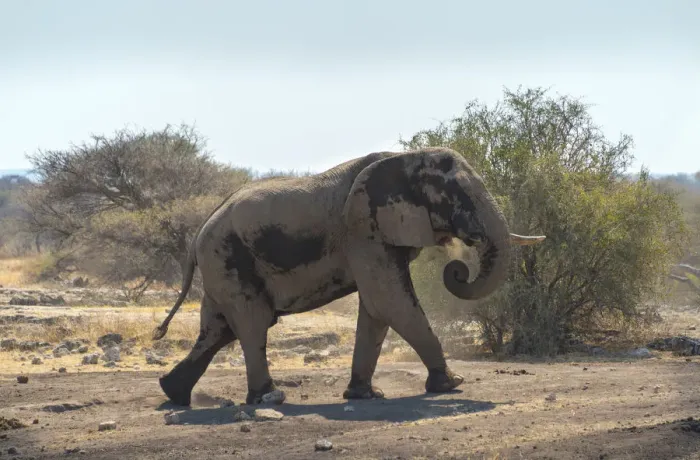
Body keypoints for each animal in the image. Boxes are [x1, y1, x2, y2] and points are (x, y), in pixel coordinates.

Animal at [152, 146, 545, 406]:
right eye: (457, 195)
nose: (458, 270)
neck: (406, 158)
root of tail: (199, 232)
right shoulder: (364, 227)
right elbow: (390, 301)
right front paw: (451, 384)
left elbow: (376, 309)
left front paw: (366, 395)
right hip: (227, 257)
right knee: (252, 323)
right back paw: (270, 397)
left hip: (222, 265)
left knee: (217, 330)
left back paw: (173, 393)